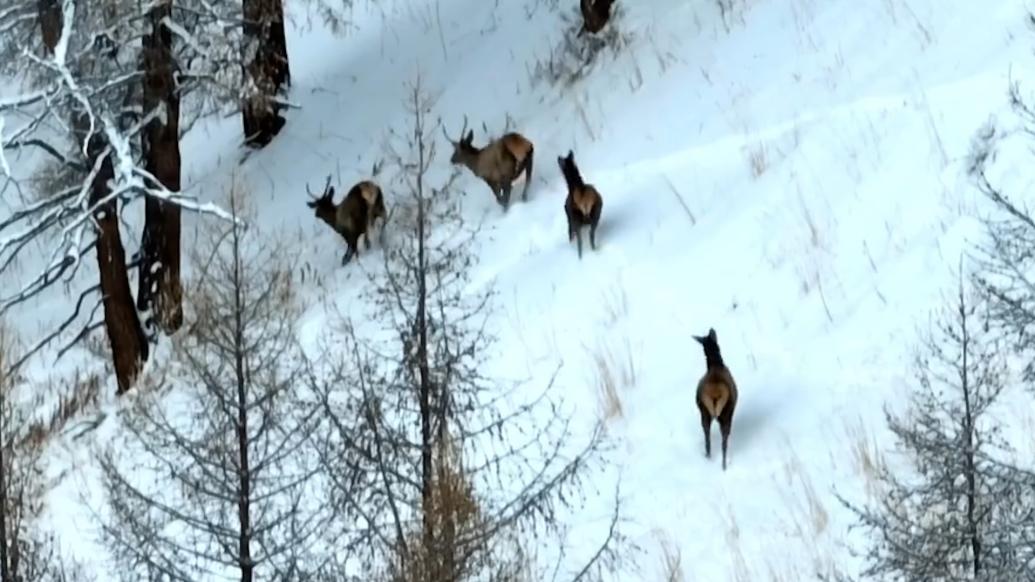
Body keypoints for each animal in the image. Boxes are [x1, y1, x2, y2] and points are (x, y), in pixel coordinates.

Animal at [695, 329, 736, 468]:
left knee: (707, 440)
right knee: (724, 443)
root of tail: (715, 393)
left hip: (704, 413)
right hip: (725, 414)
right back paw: (724, 466)